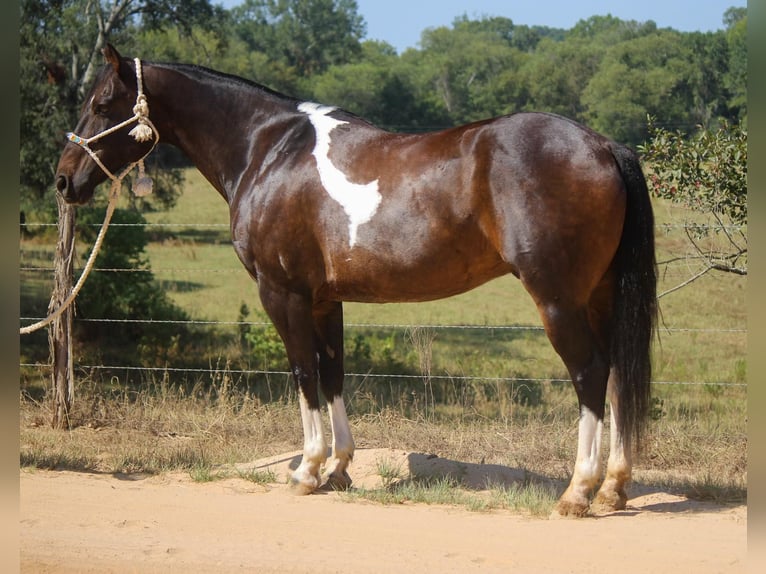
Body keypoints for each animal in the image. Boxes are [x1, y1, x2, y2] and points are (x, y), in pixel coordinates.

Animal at [55, 46, 660, 516]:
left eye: (101, 104)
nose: (64, 181)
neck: (269, 150)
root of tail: (604, 145)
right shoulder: (326, 300)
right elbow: (333, 373)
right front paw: (339, 468)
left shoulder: (282, 293)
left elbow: (303, 371)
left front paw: (306, 470)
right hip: (599, 296)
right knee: (616, 376)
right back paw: (613, 487)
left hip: (557, 299)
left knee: (590, 374)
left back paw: (578, 491)